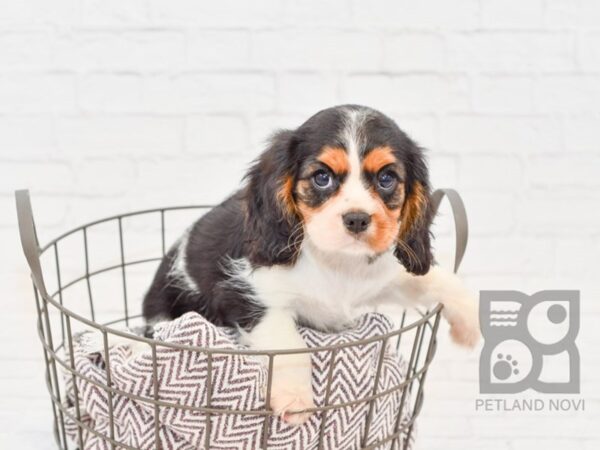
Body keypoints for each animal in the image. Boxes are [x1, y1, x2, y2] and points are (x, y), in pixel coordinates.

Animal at [143, 105, 480, 426]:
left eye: (386, 179)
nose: (357, 219)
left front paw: (471, 323)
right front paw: (295, 397)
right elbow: (289, 342)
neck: (335, 261)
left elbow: (436, 279)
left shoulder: (387, 273)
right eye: (322, 177)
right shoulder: (245, 291)